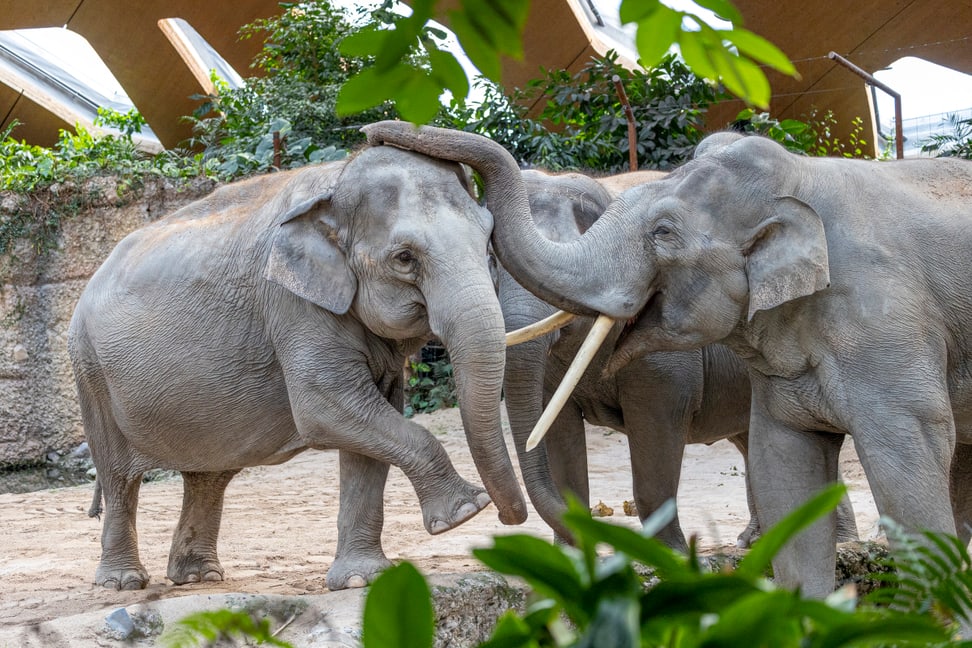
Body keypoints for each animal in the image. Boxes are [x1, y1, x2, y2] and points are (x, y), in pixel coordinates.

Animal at [68, 144, 528, 588]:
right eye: (403, 258)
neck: (337, 179)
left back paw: (199, 577)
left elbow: (372, 431)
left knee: (208, 476)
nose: (508, 518)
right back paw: (124, 583)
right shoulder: (294, 304)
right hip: (90, 371)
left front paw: (361, 579)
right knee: (118, 476)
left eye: (488, 241)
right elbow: (326, 408)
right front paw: (464, 512)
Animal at [504, 168, 856, 552]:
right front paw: (571, 556)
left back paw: (841, 543)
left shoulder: (667, 359)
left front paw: (668, 555)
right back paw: (754, 541)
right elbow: (561, 437)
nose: (508, 518)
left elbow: (656, 434)